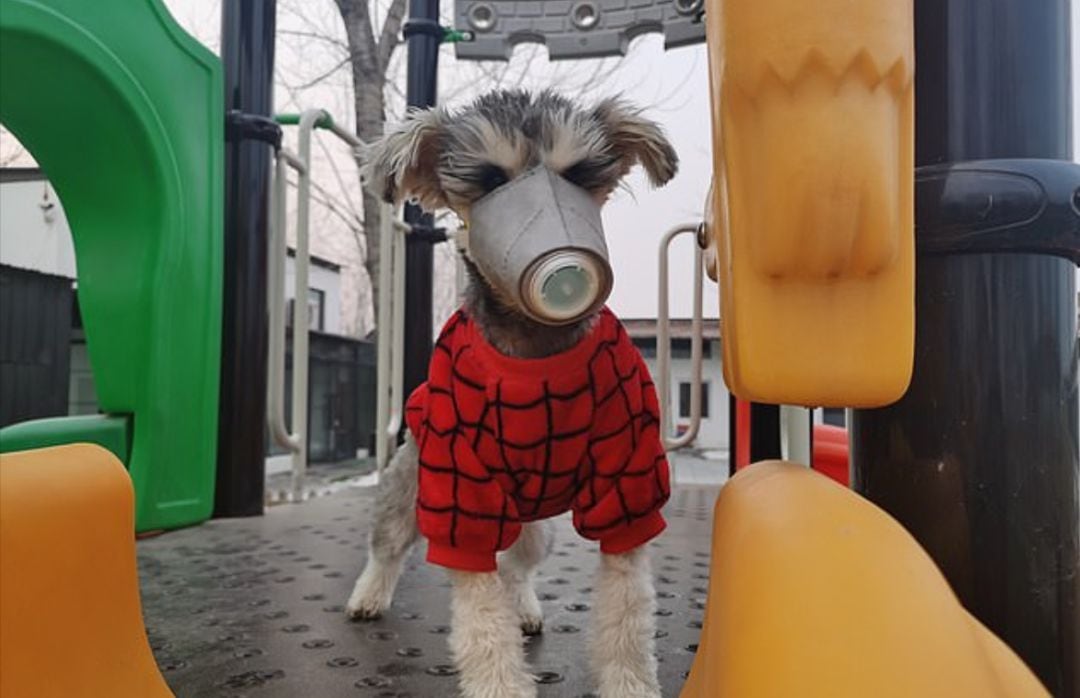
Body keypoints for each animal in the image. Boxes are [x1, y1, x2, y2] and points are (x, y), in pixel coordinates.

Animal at [345, 90, 673, 695]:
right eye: (490, 179)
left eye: (579, 173)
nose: (564, 267)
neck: (534, 343)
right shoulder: (460, 494)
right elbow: (480, 616)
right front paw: (500, 682)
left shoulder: (627, 481)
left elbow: (626, 609)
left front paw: (629, 682)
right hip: (407, 488)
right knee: (389, 546)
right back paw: (367, 596)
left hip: (533, 527)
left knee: (515, 568)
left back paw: (523, 608)